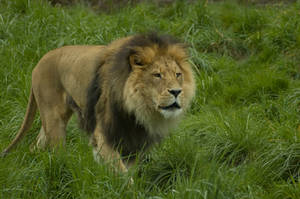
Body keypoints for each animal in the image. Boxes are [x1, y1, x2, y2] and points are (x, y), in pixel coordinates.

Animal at [1, 33, 196, 173]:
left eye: (178, 74)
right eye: (157, 75)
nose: (176, 92)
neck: (137, 109)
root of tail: (39, 62)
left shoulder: (132, 138)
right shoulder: (103, 133)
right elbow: (121, 172)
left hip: (51, 121)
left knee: (36, 145)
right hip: (54, 121)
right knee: (58, 154)